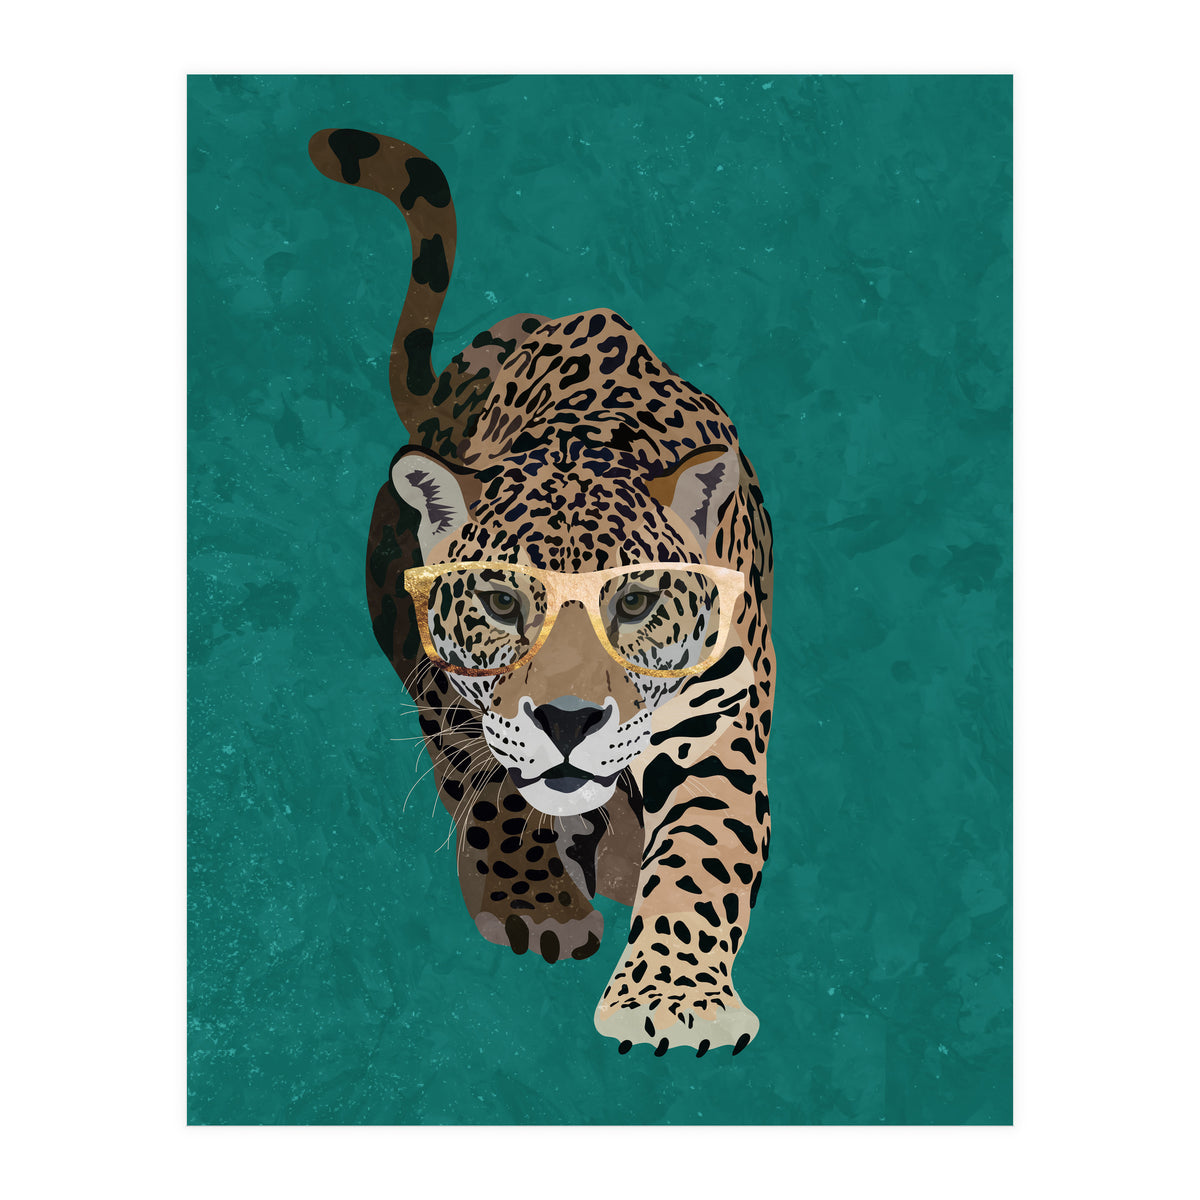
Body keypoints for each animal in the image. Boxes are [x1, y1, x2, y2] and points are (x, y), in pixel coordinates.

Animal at [308, 128, 775, 1056]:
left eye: (633, 603)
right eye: (500, 603)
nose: (567, 721)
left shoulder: (719, 718)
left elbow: (704, 853)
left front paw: (673, 999)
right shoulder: (453, 691)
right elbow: (492, 787)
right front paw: (536, 903)